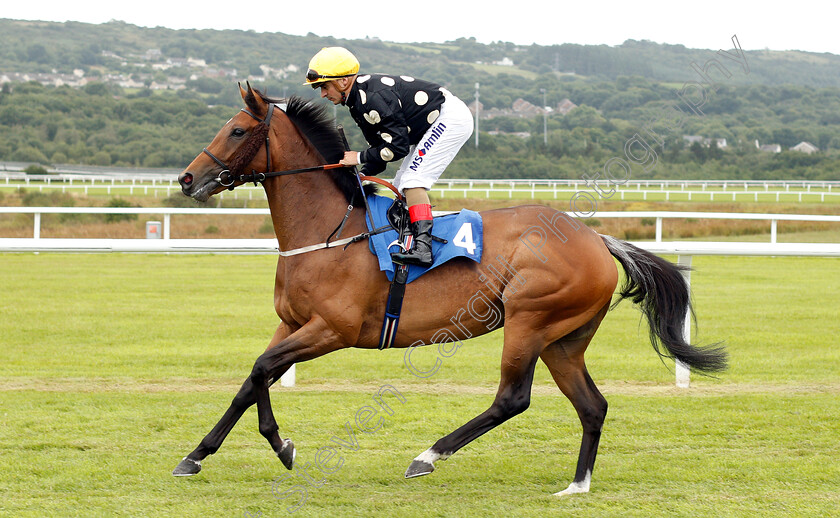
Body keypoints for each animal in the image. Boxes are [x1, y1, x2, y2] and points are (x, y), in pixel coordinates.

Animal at [172, 83, 728, 498]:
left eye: (237, 129)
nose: (187, 179)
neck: (327, 229)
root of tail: (596, 238)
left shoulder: (332, 330)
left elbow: (261, 370)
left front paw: (281, 445)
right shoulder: (292, 323)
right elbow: (252, 379)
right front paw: (196, 456)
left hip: (529, 319)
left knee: (512, 398)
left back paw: (427, 455)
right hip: (563, 340)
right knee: (592, 406)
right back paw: (576, 486)